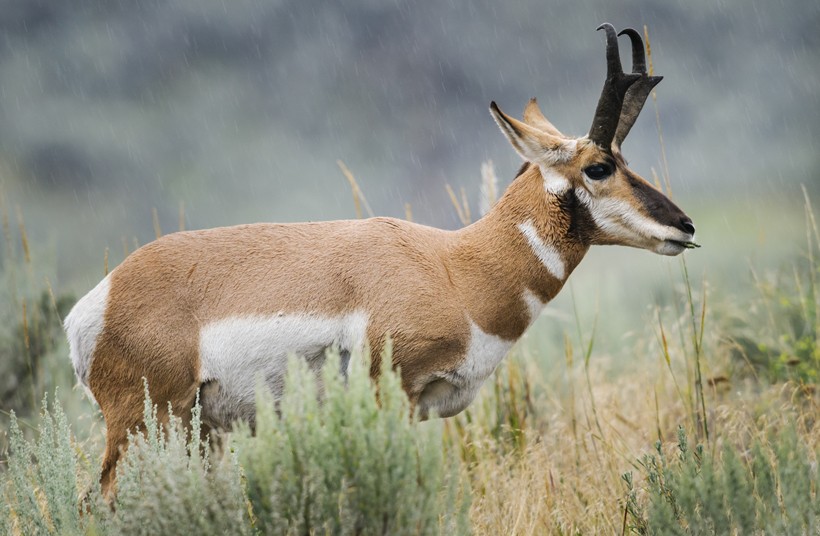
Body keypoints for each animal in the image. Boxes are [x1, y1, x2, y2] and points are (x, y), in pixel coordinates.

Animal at [64, 23, 696, 496]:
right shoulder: (390, 395)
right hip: (145, 424)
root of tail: (99, 300)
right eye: (599, 166)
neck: (454, 266)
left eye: (624, 159)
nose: (684, 227)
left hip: (194, 433)